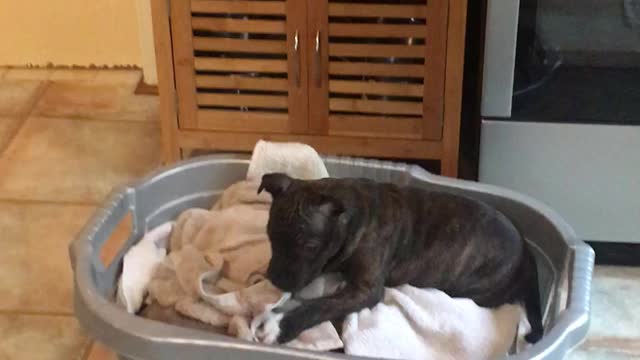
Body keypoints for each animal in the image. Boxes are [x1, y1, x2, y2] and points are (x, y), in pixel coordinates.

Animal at [258, 173, 544, 344]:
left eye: (310, 245)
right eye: (270, 235)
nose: (275, 278)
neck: (350, 217)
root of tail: (527, 255)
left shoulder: (365, 289)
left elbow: (320, 305)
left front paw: (280, 325)